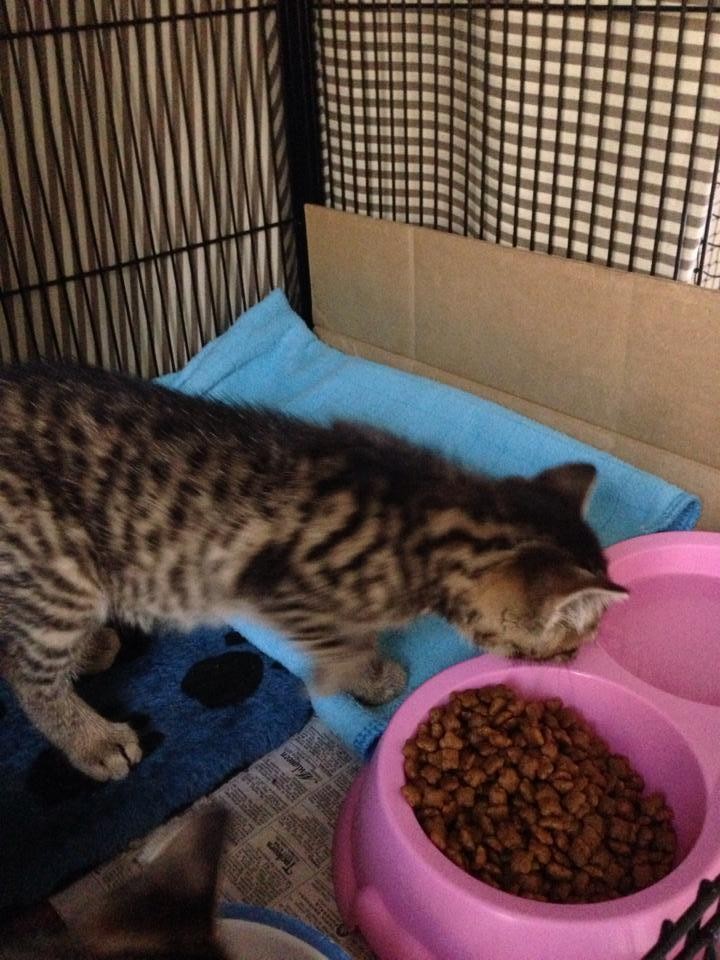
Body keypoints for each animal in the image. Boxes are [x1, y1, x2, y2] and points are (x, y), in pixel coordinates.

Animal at [0, 362, 627, 781]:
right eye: (574, 638)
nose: (577, 659)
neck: (434, 514)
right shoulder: (279, 584)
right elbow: (344, 642)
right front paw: (368, 676)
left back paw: (93, 649)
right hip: (58, 565)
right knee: (24, 669)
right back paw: (92, 739)